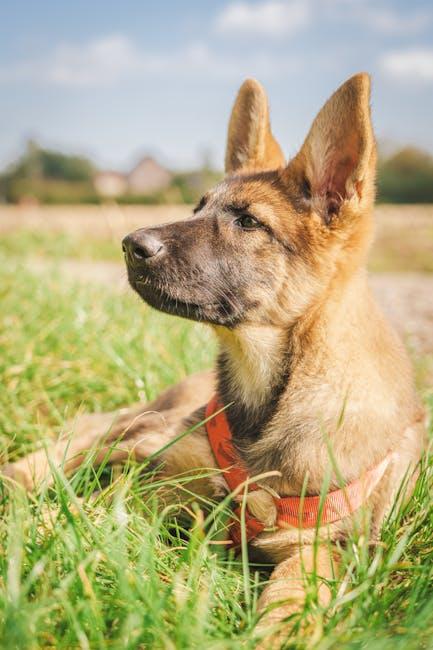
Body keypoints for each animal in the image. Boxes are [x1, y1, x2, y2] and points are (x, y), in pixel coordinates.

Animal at [5, 73, 426, 640]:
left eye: (247, 222)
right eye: (197, 207)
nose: (129, 244)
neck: (269, 396)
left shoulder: (322, 549)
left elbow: (295, 594)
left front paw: (276, 631)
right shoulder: (149, 463)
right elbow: (77, 510)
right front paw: (31, 524)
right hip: (138, 421)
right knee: (69, 444)